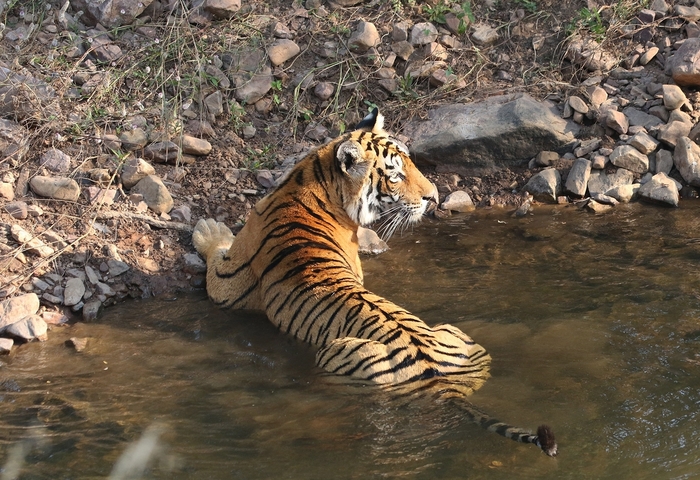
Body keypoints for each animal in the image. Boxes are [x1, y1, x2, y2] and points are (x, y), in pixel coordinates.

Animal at [192, 109, 557, 457]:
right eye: (396, 175)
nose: (434, 197)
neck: (312, 179)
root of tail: (444, 386)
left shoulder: (229, 283)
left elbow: (215, 253)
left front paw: (208, 227)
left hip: (334, 353)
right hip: (459, 336)